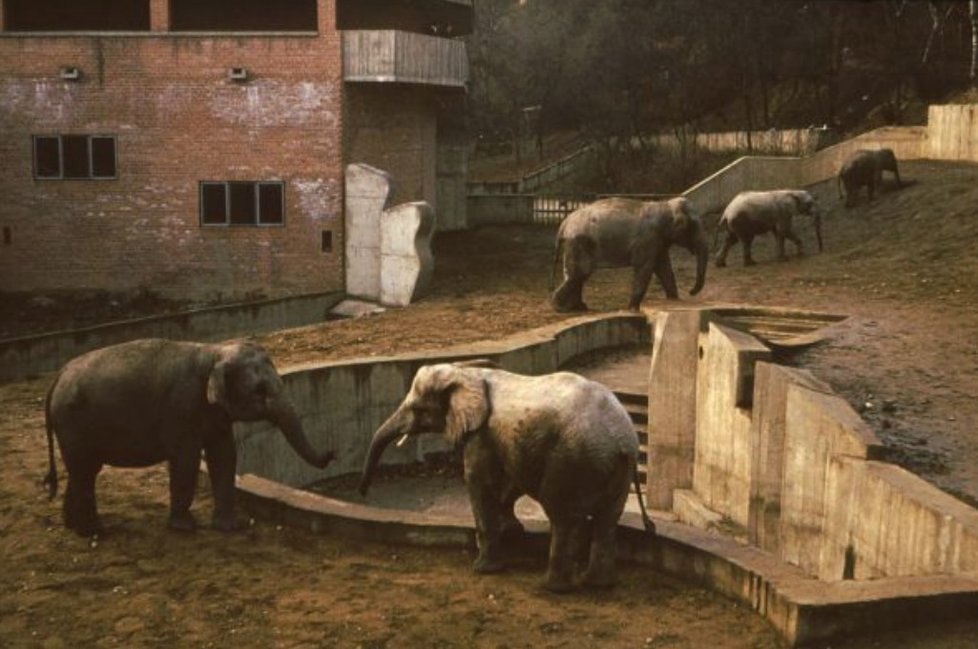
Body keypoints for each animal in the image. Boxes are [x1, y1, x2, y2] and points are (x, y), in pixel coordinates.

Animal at [44, 336, 336, 536]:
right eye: (259, 391)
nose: (332, 453)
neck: (214, 353)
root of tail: (58, 377)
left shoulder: (215, 413)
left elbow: (224, 454)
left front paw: (231, 526)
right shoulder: (181, 408)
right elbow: (187, 459)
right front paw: (185, 528)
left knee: (85, 470)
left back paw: (74, 527)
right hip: (73, 423)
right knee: (83, 470)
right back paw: (96, 532)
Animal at [354, 360, 652, 592]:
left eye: (418, 409)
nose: (363, 492)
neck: (466, 372)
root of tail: (625, 442)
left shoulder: (481, 433)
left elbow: (479, 481)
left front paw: (483, 569)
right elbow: (511, 479)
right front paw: (512, 533)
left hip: (572, 459)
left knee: (563, 515)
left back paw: (552, 588)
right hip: (613, 470)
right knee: (607, 519)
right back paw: (598, 584)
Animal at [544, 195, 704, 312]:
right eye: (694, 226)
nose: (691, 292)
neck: (664, 205)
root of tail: (564, 223)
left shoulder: (659, 241)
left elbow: (664, 269)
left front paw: (674, 301)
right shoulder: (647, 240)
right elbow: (645, 268)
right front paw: (632, 309)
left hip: (575, 245)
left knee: (577, 276)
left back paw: (579, 308)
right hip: (577, 244)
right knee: (579, 274)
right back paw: (560, 308)